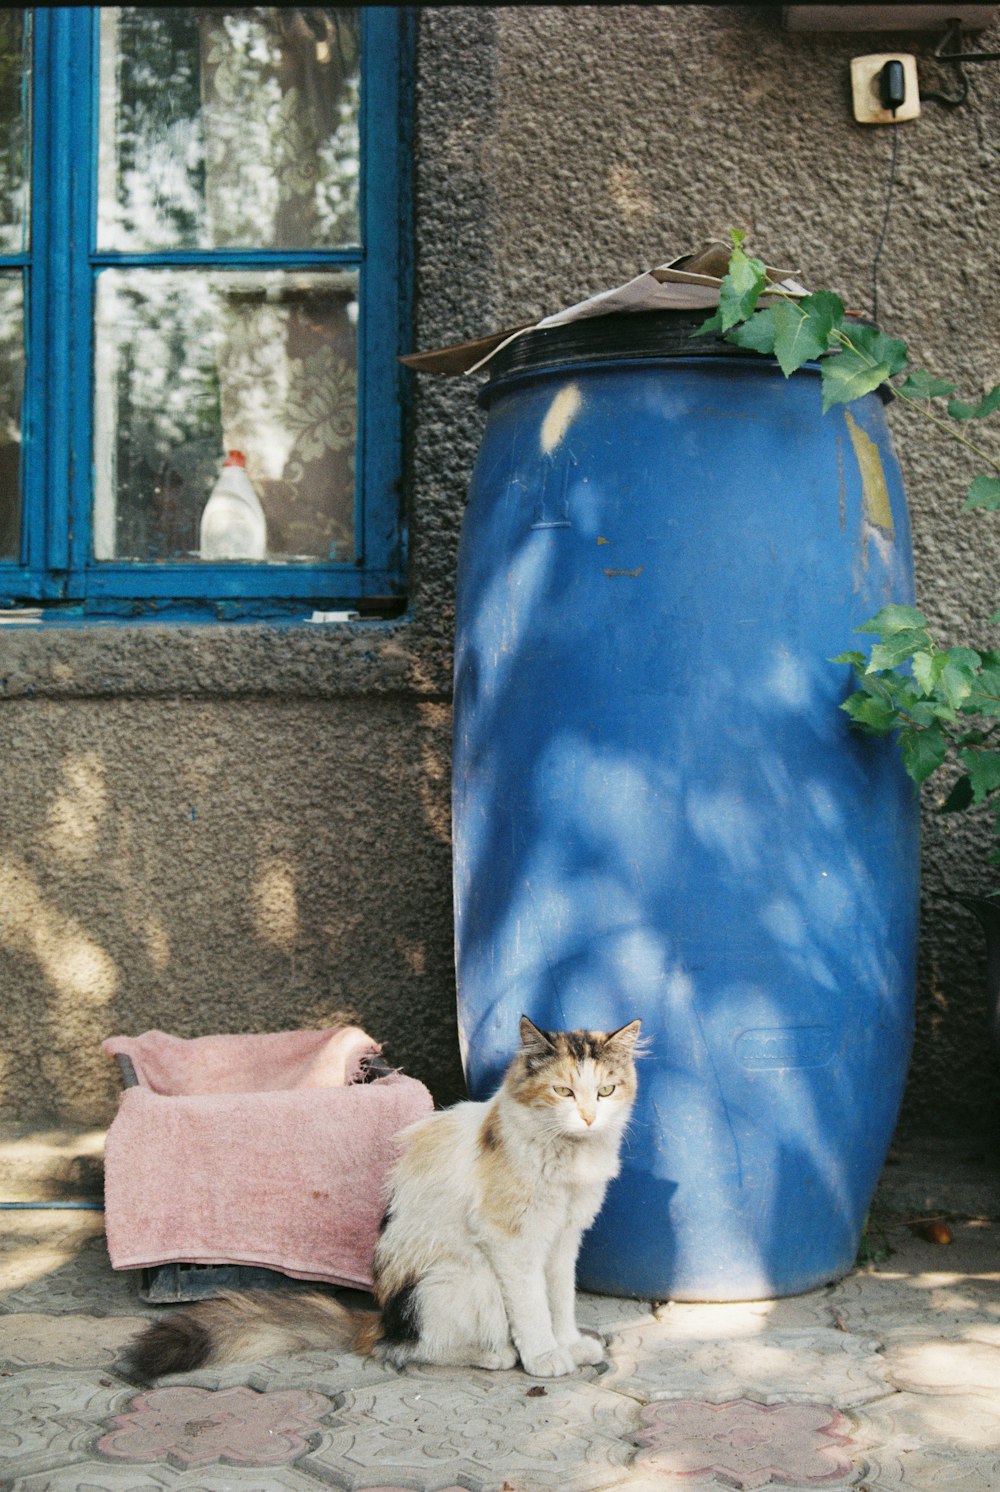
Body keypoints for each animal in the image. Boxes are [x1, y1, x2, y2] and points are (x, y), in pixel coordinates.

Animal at [123, 1020, 641, 1378]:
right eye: (563, 1090)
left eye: (606, 1090)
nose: (590, 1118)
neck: (568, 1156)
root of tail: (380, 1320)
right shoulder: (513, 1244)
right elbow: (534, 1306)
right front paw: (544, 1356)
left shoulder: (563, 1239)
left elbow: (561, 1299)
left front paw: (569, 1344)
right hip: (466, 1278)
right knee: (411, 1349)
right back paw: (497, 1354)